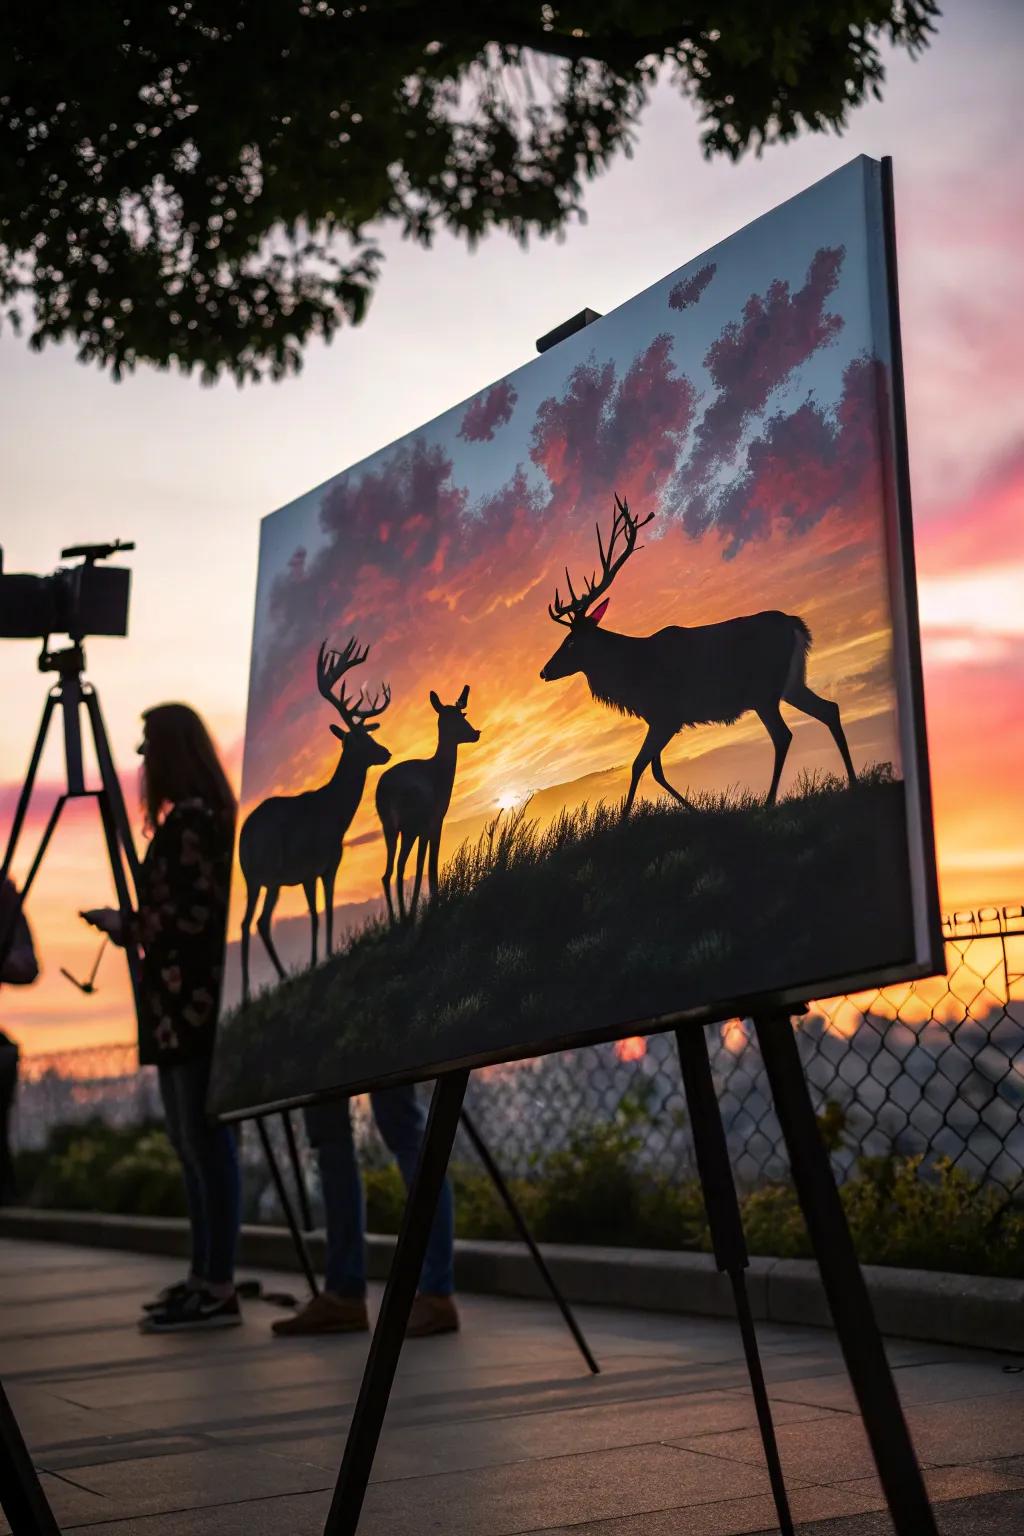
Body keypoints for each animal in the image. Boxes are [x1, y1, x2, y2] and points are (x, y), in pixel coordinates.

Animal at [237, 642, 389, 1001]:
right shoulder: (311, 866)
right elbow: (319, 913)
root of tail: (244, 837)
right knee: (257, 921)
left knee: (251, 922)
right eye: (357, 740)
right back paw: (270, 984)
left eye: (369, 734)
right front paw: (319, 960)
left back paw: (258, 990)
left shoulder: (328, 866)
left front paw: (324, 956)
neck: (335, 815)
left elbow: (326, 910)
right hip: (267, 874)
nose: (386, 752)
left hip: (258, 878)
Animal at [379, 688, 482, 921]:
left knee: (389, 872)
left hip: (391, 828)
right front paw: (435, 904)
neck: (440, 774)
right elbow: (429, 864)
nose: (476, 733)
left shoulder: (422, 829)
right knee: (400, 866)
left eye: (462, 714)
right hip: (408, 827)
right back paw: (404, 917)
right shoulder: (435, 822)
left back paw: (398, 919)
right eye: (457, 718)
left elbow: (420, 865)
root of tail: (384, 791)